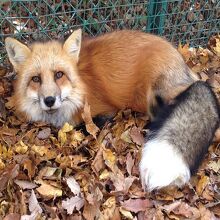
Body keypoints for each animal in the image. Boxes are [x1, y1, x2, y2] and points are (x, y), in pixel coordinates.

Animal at [6, 29, 218, 191]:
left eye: (59, 75)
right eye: (36, 79)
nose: (49, 100)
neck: (80, 86)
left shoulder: (105, 111)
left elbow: (82, 127)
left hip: (157, 93)